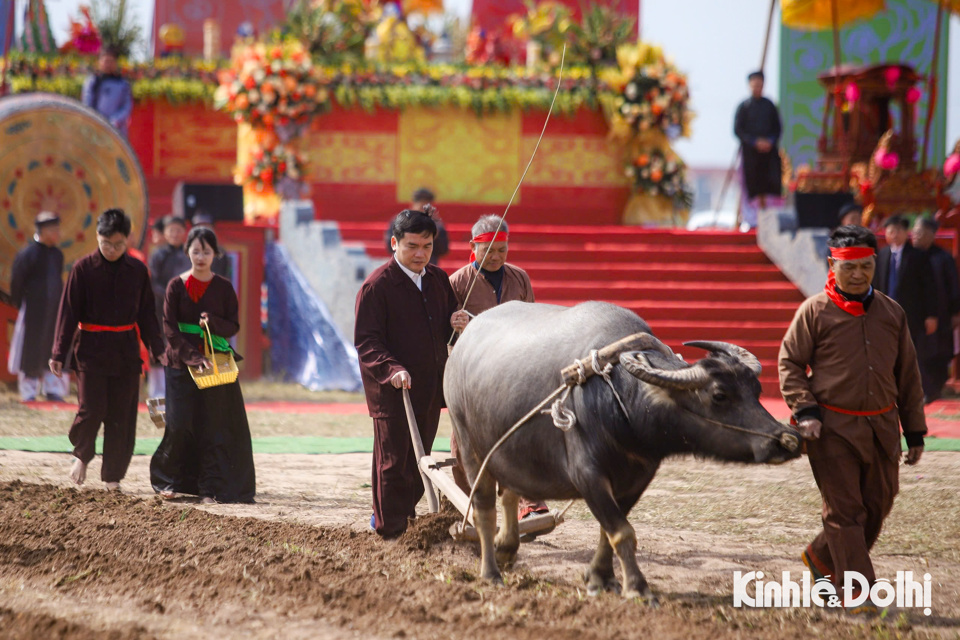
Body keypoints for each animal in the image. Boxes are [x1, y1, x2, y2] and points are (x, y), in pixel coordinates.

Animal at [446, 302, 800, 604]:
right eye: (719, 395)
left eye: (756, 389)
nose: (787, 439)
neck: (619, 398)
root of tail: (460, 348)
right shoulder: (588, 475)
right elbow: (622, 532)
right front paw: (638, 587)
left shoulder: (638, 478)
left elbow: (610, 531)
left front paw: (600, 578)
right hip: (470, 448)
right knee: (484, 510)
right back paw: (490, 572)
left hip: (509, 452)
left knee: (509, 492)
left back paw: (507, 550)